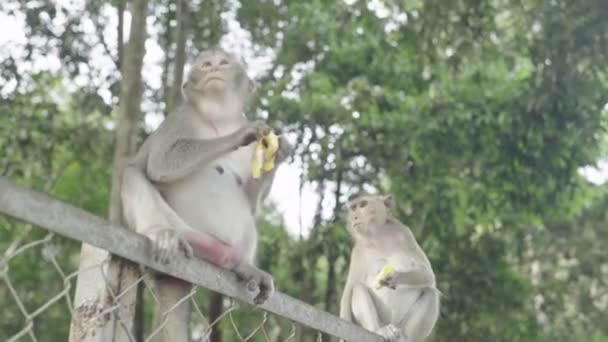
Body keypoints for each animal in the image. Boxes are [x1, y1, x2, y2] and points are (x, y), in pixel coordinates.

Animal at [120, 48, 294, 342]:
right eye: (205, 64)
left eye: (223, 62)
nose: (213, 67)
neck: (220, 119)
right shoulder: (181, 117)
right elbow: (160, 161)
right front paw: (241, 134)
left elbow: (252, 203)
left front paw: (280, 153)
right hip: (189, 234)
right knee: (132, 174)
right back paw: (159, 232)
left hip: (224, 249)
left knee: (248, 222)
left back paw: (242, 267)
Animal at [340, 194, 440, 340]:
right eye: (353, 208)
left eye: (363, 205)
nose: (355, 217)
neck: (377, 236)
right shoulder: (358, 251)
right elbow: (349, 290)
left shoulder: (405, 234)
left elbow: (428, 274)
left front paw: (395, 277)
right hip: (382, 321)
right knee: (358, 288)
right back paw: (379, 330)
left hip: (402, 325)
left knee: (431, 293)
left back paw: (405, 338)